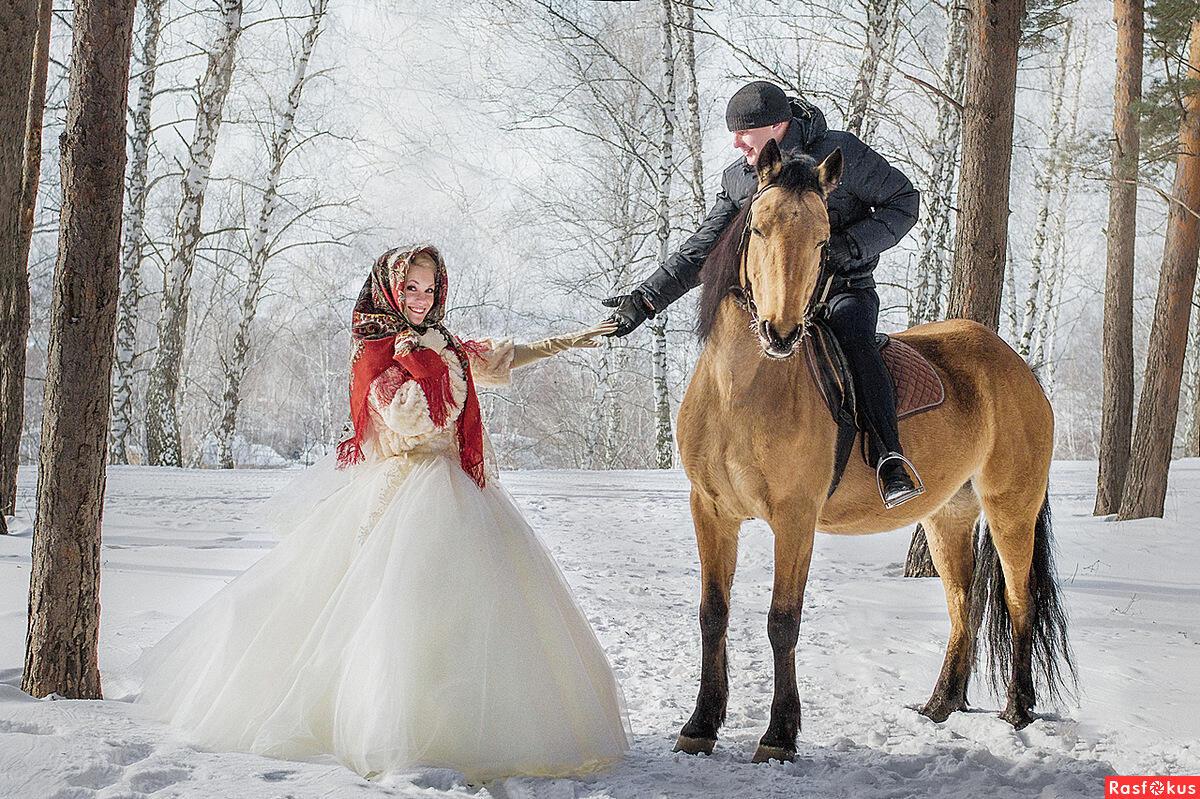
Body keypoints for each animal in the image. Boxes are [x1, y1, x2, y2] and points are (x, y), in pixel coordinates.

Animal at [672, 139, 1075, 763]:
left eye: (824, 239)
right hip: (949, 515)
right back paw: (941, 704)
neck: (743, 391)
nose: (781, 333)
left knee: (1015, 600)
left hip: (1012, 508)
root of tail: (1017, 367)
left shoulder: (795, 518)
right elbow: (713, 614)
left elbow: (782, 621)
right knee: (964, 603)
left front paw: (779, 735)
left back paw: (1017, 708)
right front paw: (700, 725)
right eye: (757, 227)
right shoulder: (711, 511)